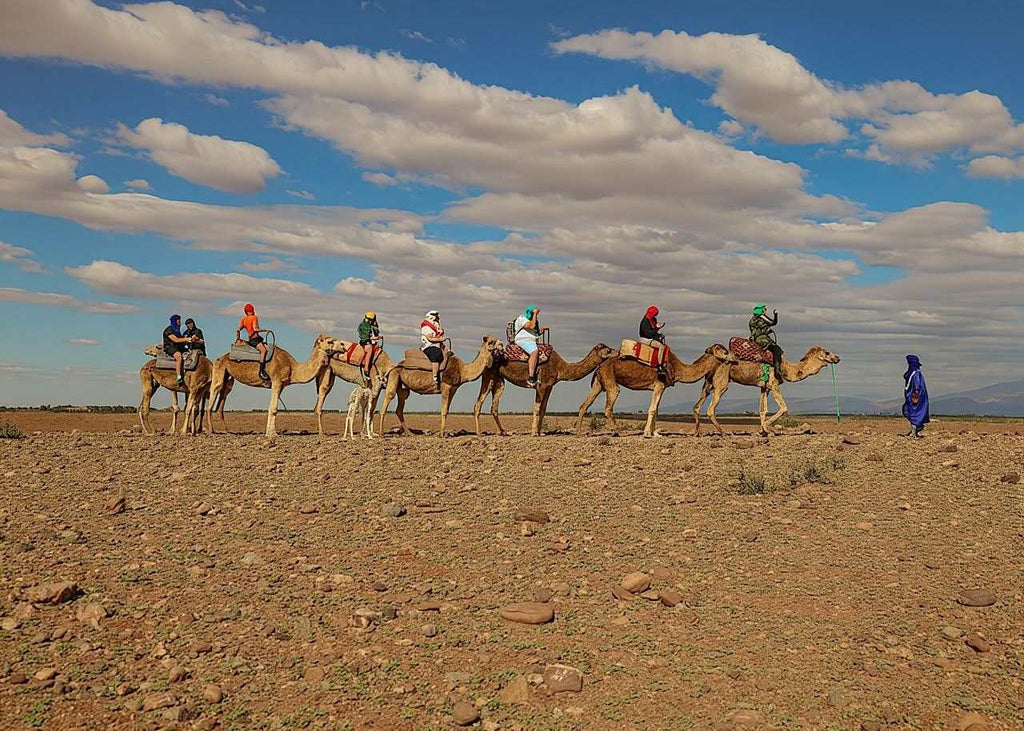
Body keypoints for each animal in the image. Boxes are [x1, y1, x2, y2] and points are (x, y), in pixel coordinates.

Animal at [206, 334, 340, 438]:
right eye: (330, 341)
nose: (342, 346)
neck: (291, 367)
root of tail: (220, 357)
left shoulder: (281, 385)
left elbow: (272, 408)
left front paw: (269, 433)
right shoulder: (276, 381)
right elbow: (274, 408)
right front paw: (273, 434)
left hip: (228, 378)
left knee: (222, 397)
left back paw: (226, 432)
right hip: (219, 369)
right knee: (214, 392)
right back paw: (211, 432)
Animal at [473, 343, 617, 436]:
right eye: (608, 349)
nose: (619, 352)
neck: (561, 367)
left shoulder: (550, 386)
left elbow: (543, 408)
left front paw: (540, 432)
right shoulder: (541, 385)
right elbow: (537, 407)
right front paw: (534, 433)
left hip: (499, 380)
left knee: (494, 407)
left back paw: (503, 432)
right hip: (488, 374)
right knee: (478, 403)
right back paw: (479, 433)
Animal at [576, 344, 739, 438]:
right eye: (724, 351)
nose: (735, 357)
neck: (677, 368)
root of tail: (600, 366)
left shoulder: (661, 388)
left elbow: (657, 410)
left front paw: (655, 433)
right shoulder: (659, 385)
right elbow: (652, 409)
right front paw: (647, 433)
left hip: (599, 383)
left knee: (585, 404)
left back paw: (578, 433)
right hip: (610, 381)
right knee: (608, 407)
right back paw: (617, 431)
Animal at [692, 345, 841, 436]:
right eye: (827, 352)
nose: (837, 358)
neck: (786, 368)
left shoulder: (764, 387)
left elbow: (762, 410)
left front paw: (762, 431)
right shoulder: (773, 385)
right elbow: (784, 408)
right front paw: (766, 428)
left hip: (708, 383)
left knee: (697, 406)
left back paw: (697, 433)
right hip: (722, 383)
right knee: (710, 409)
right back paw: (724, 432)